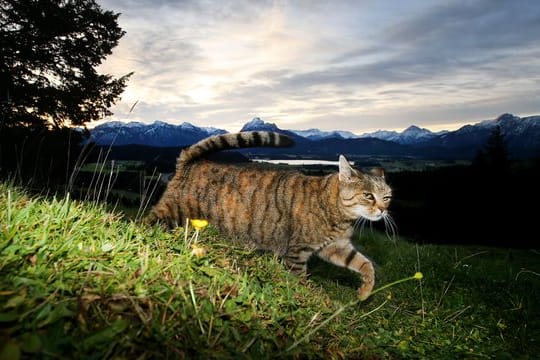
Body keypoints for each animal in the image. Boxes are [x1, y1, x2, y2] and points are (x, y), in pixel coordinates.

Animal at [147, 131, 392, 300]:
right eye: (368, 196)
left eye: (388, 197)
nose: (383, 210)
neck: (339, 214)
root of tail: (190, 161)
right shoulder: (297, 253)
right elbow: (300, 280)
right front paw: (308, 297)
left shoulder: (336, 247)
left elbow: (365, 264)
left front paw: (365, 291)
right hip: (171, 212)